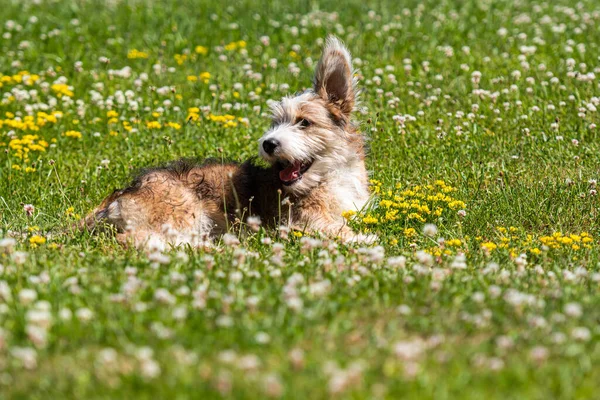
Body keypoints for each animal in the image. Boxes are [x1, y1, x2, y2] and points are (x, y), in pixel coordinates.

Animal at [83, 37, 376, 250]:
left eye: (304, 122)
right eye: (275, 122)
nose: (268, 144)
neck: (332, 176)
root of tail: (117, 199)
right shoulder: (305, 221)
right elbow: (333, 228)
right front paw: (363, 239)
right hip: (184, 211)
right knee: (138, 240)